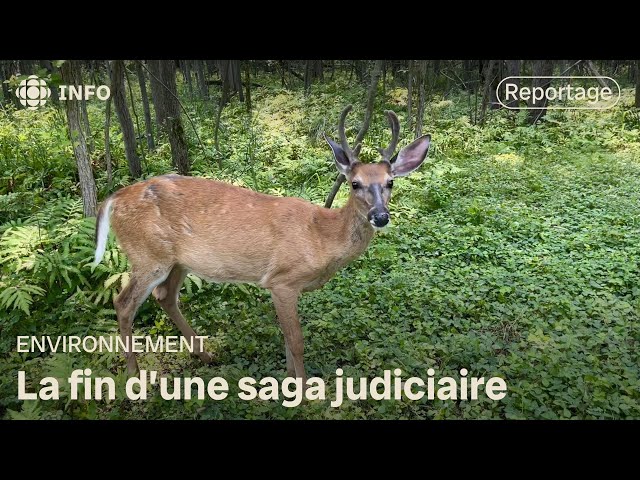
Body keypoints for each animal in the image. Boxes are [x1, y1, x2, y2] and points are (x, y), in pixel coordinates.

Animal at [92, 105, 430, 382]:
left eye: (390, 182)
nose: (380, 216)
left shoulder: (282, 287)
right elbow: (296, 341)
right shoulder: (283, 280)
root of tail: (112, 200)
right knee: (123, 303)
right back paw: (134, 376)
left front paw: (288, 380)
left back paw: (206, 355)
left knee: (165, 296)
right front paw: (305, 393)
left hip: (177, 261)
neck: (321, 236)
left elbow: (287, 340)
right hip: (148, 255)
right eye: (355, 183)